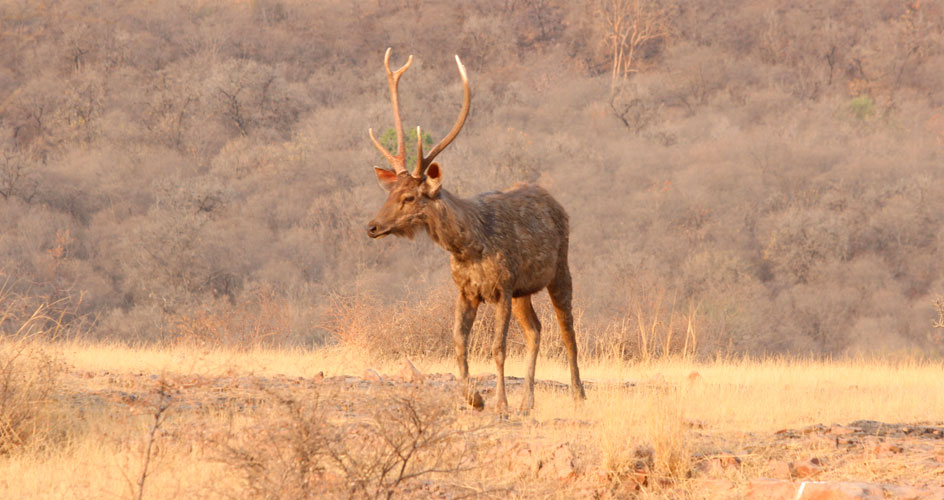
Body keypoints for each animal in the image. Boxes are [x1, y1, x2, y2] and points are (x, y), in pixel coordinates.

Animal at [366, 48, 584, 412]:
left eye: (410, 197)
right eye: (390, 192)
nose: (372, 226)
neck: (467, 246)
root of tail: (555, 201)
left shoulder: (503, 287)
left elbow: (498, 347)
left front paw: (500, 404)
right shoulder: (467, 291)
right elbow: (458, 342)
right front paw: (474, 398)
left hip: (559, 270)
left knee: (567, 329)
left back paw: (577, 393)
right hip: (524, 290)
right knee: (535, 329)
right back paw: (528, 401)